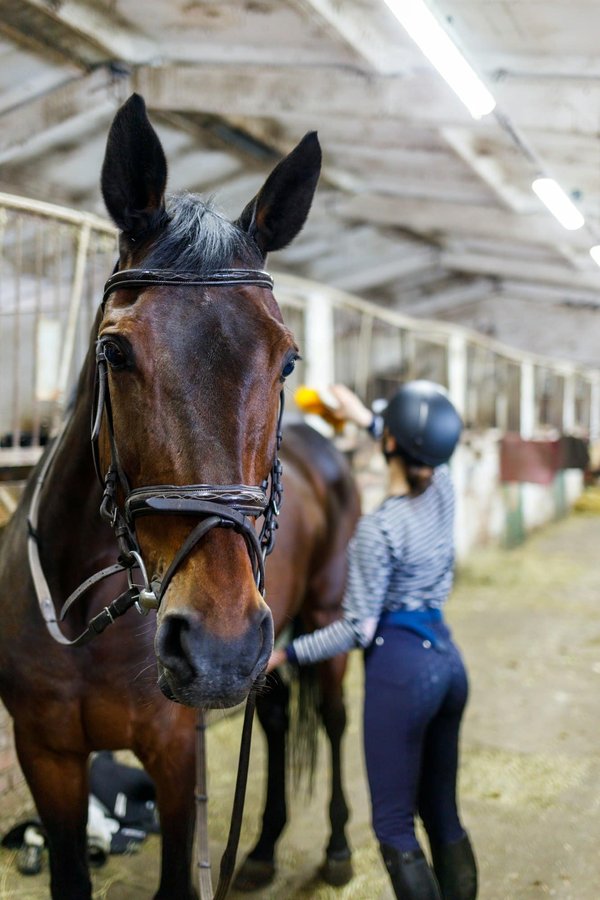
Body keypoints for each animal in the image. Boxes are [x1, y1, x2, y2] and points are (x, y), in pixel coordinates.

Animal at [0, 93, 360, 899]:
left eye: (288, 360)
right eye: (113, 350)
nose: (218, 646)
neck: (90, 620)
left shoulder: (174, 753)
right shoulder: (46, 757)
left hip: (319, 612)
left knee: (330, 713)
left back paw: (336, 847)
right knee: (278, 719)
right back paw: (261, 850)